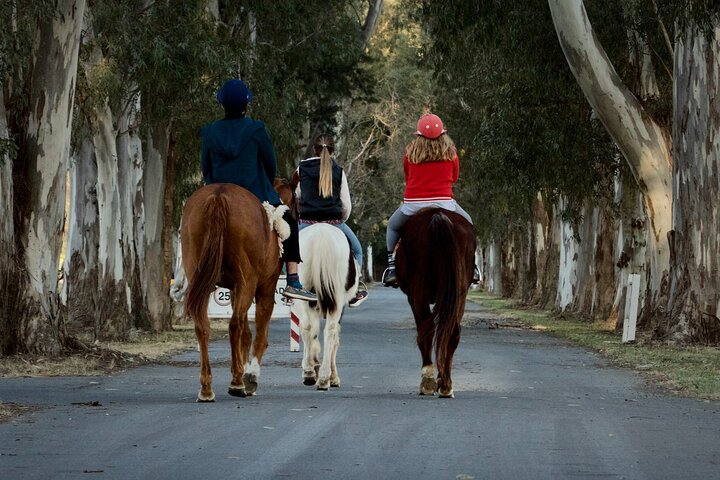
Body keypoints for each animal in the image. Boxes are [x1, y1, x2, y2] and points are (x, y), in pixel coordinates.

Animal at [181, 183, 288, 402]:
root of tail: (218, 195)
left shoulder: (234, 290)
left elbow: (247, 334)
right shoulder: (265, 288)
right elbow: (259, 336)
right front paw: (251, 376)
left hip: (200, 279)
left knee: (202, 326)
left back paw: (206, 389)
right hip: (247, 281)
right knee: (235, 325)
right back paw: (237, 383)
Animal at [292, 223, 360, 388]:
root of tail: (322, 235)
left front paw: (314, 365)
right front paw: (332, 376)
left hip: (305, 297)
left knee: (311, 328)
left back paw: (314, 374)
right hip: (335, 300)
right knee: (328, 331)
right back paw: (323, 377)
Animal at [396, 208, 476, 400]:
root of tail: (437, 214)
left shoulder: (412, 297)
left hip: (419, 293)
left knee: (427, 330)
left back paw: (428, 382)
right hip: (459, 293)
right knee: (452, 331)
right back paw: (446, 385)